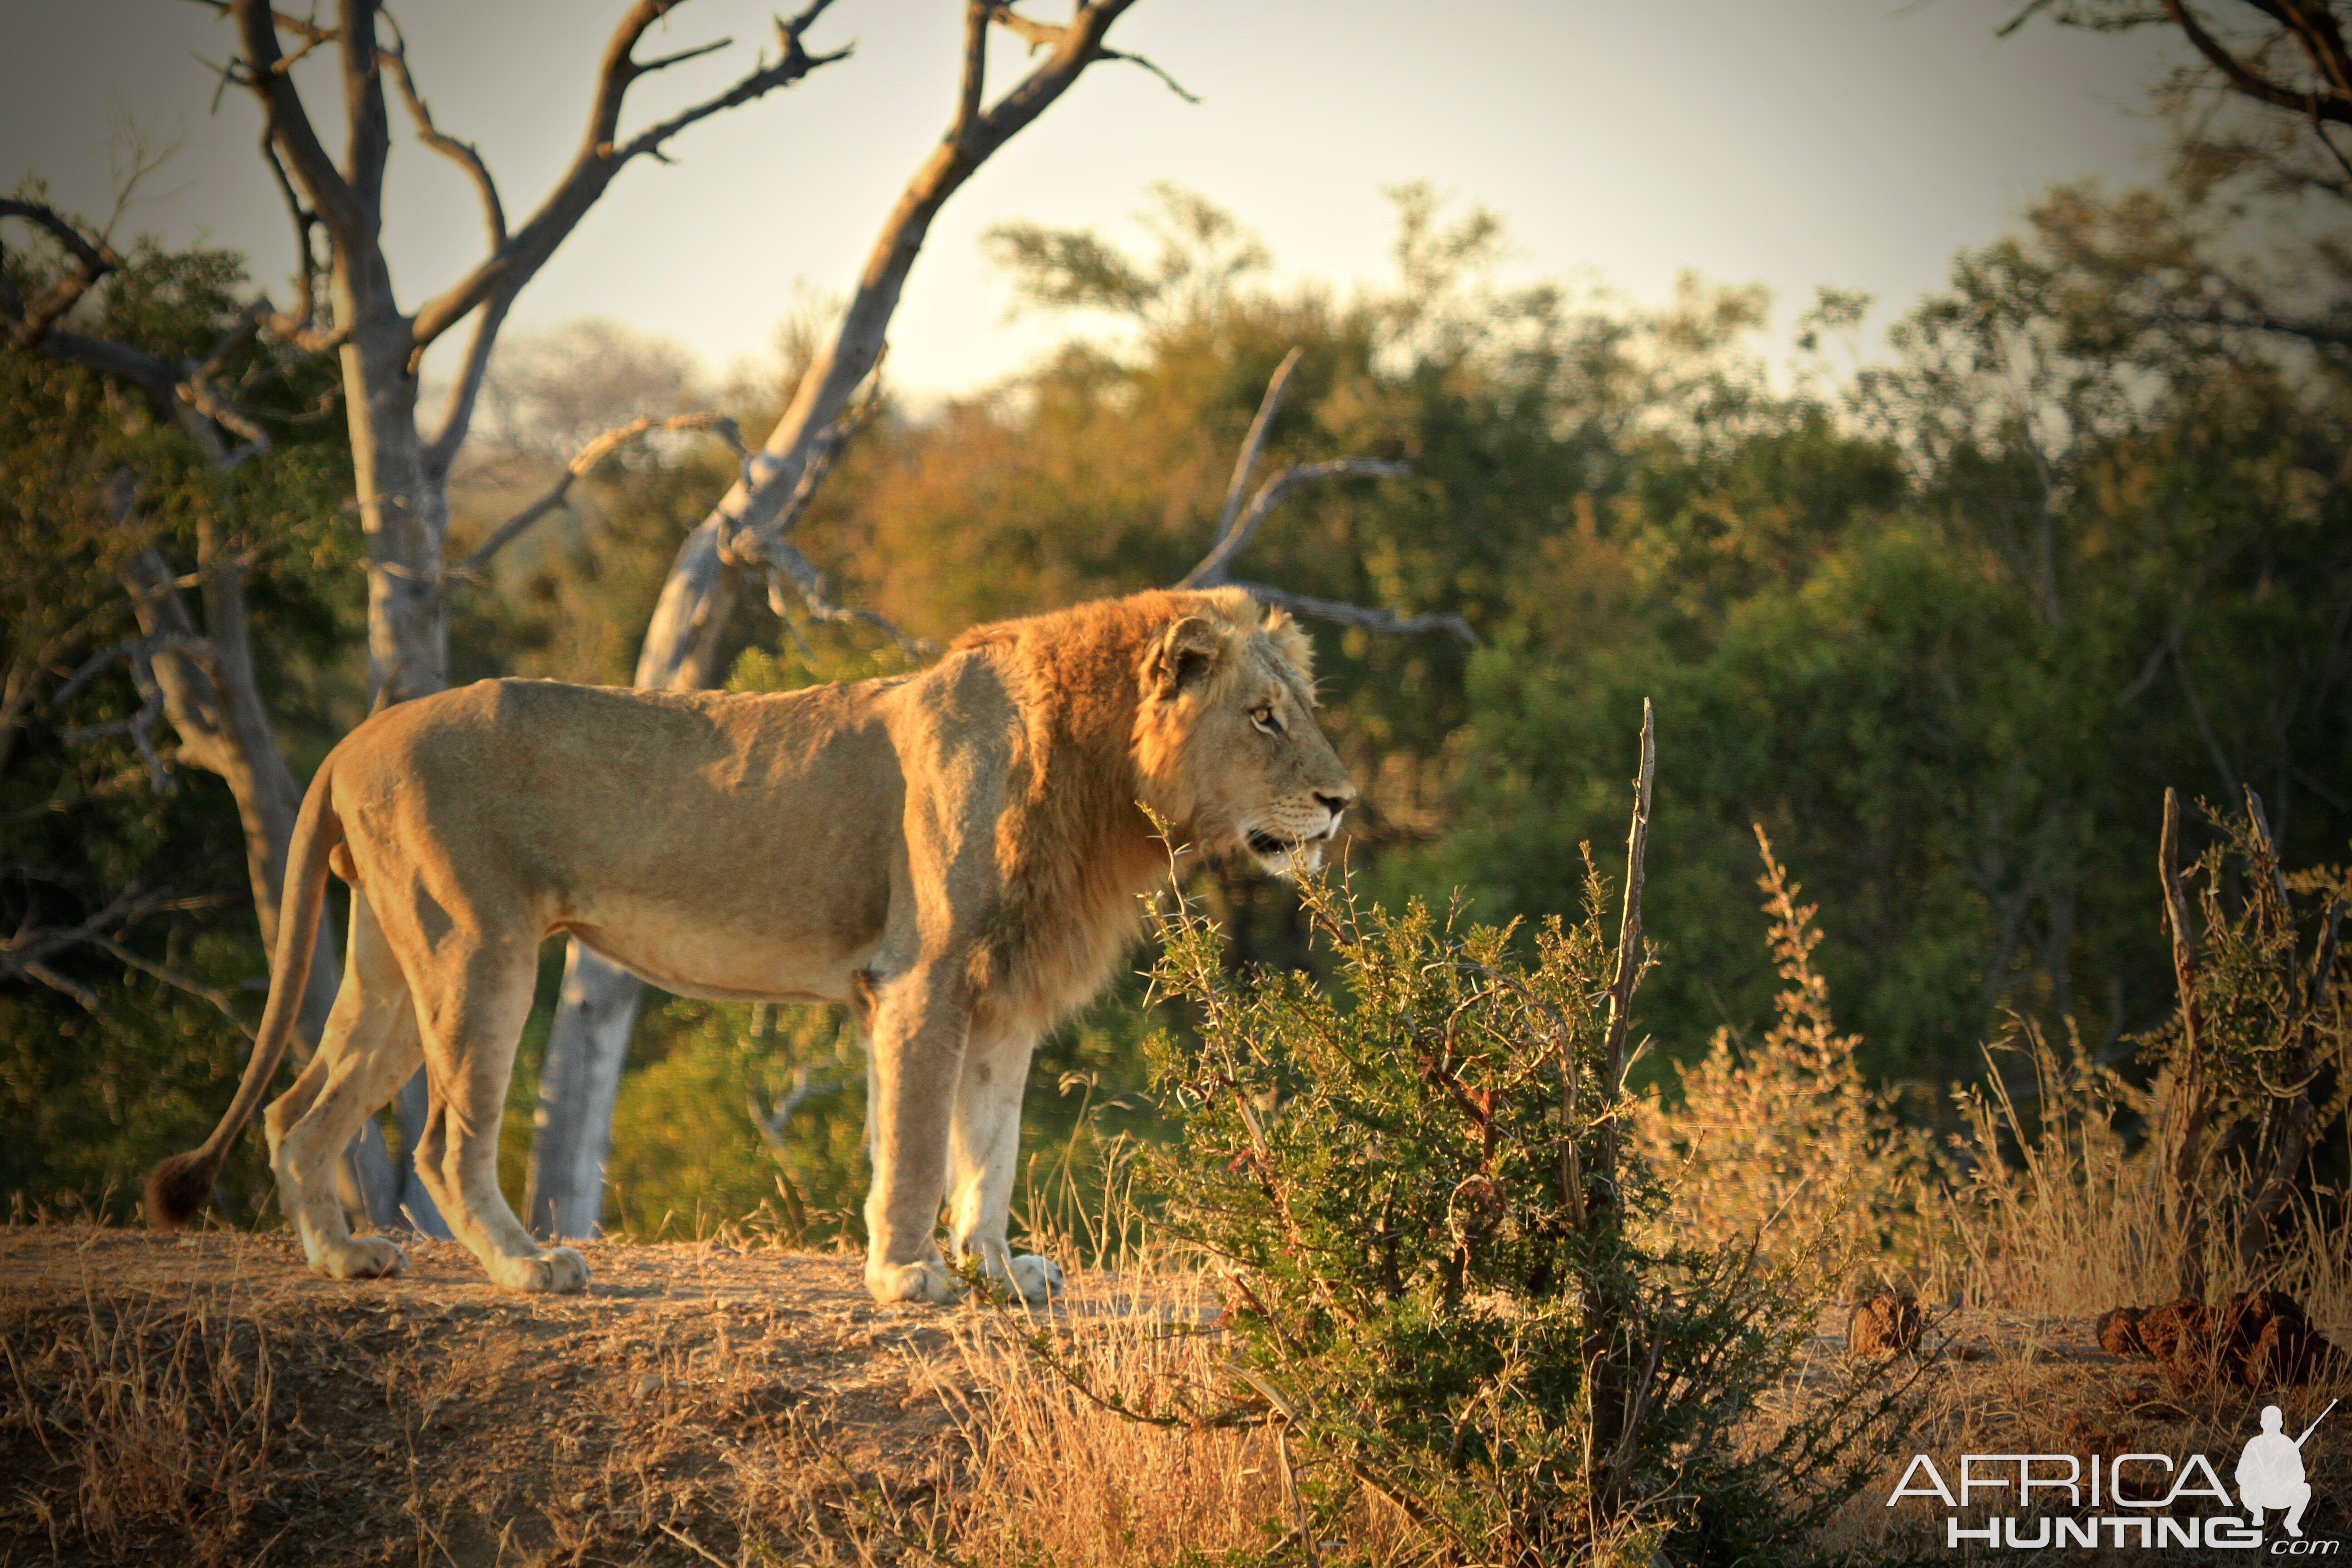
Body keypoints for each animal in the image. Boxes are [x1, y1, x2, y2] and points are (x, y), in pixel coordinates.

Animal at [142, 585, 1364, 1298]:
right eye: (1262, 716)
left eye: (1301, 707)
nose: (1343, 800)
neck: (1100, 777)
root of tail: (355, 738)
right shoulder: (920, 975)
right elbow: (917, 1142)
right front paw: (907, 1274)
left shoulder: (1003, 993)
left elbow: (992, 1142)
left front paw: (997, 1269)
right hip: (477, 950)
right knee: (444, 1139)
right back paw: (529, 1267)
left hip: (394, 965)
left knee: (300, 1112)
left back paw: (344, 1256)